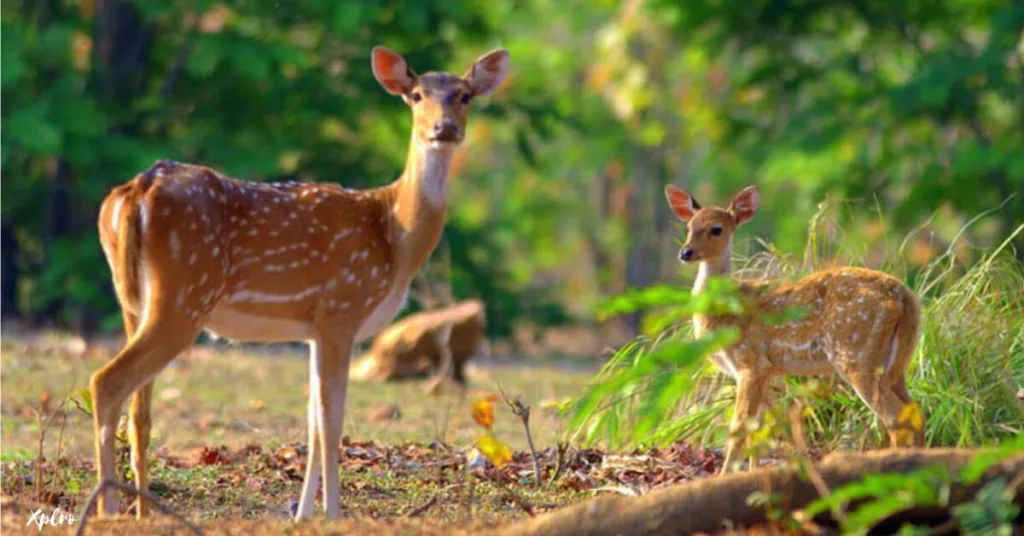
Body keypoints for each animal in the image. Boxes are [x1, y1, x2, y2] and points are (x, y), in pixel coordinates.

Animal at [91, 46, 507, 520]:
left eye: (465, 95)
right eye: (416, 95)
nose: (445, 129)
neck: (394, 236)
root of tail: (135, 192)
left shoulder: (313, 327)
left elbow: (311, 419)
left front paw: (304, 513)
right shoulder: (343, 307)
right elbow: (331, 418)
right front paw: (334, 515)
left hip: (132, 299)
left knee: (138, 408)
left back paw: (141, 512)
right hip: (184, 294)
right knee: (106, 382)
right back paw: (106, 509)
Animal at [667, 183, 925, 473]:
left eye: (716, 229)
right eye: (689, 227)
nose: (685, 252)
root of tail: (904, 298)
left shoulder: (750, 363)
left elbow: (739, 429)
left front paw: (724, 476)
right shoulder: (765, 371)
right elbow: (760, 430)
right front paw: (754, 473)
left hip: (857, 355)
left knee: (895, 417)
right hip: (897, 362)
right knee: (916, 412)